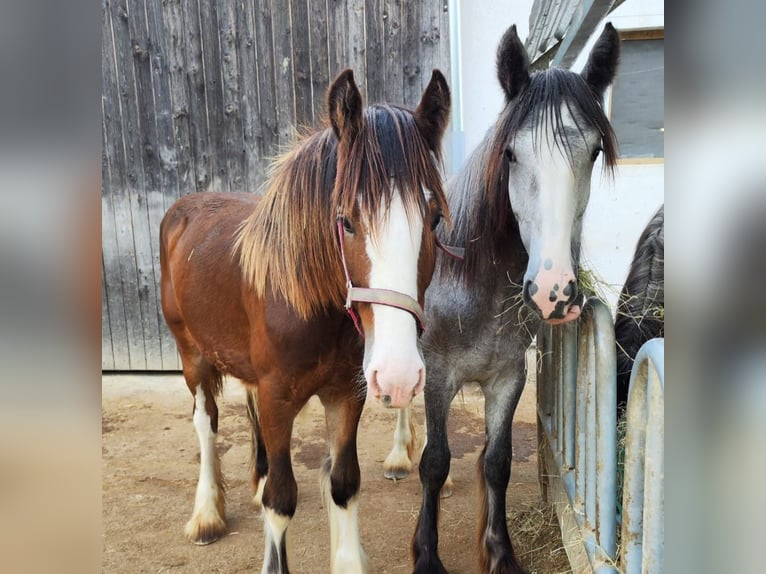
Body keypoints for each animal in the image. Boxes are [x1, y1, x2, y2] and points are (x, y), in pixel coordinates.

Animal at [159, 68, 451, 574]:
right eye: (346, 220)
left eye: (433, 219)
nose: (398, 376)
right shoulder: (278, 398)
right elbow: (281, 501)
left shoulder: (345, 394)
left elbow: (344, 483)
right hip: (191, 355)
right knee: (206, 423)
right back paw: (206, 515)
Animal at [404, 23, 621, 574]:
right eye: (511, 154)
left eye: (593, 152)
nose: (554, 293)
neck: (473, 285)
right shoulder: (437, 373)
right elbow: (435, 463)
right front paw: (427, 555)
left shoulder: (508, 376)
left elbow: (496, 462)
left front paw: (500, 552)